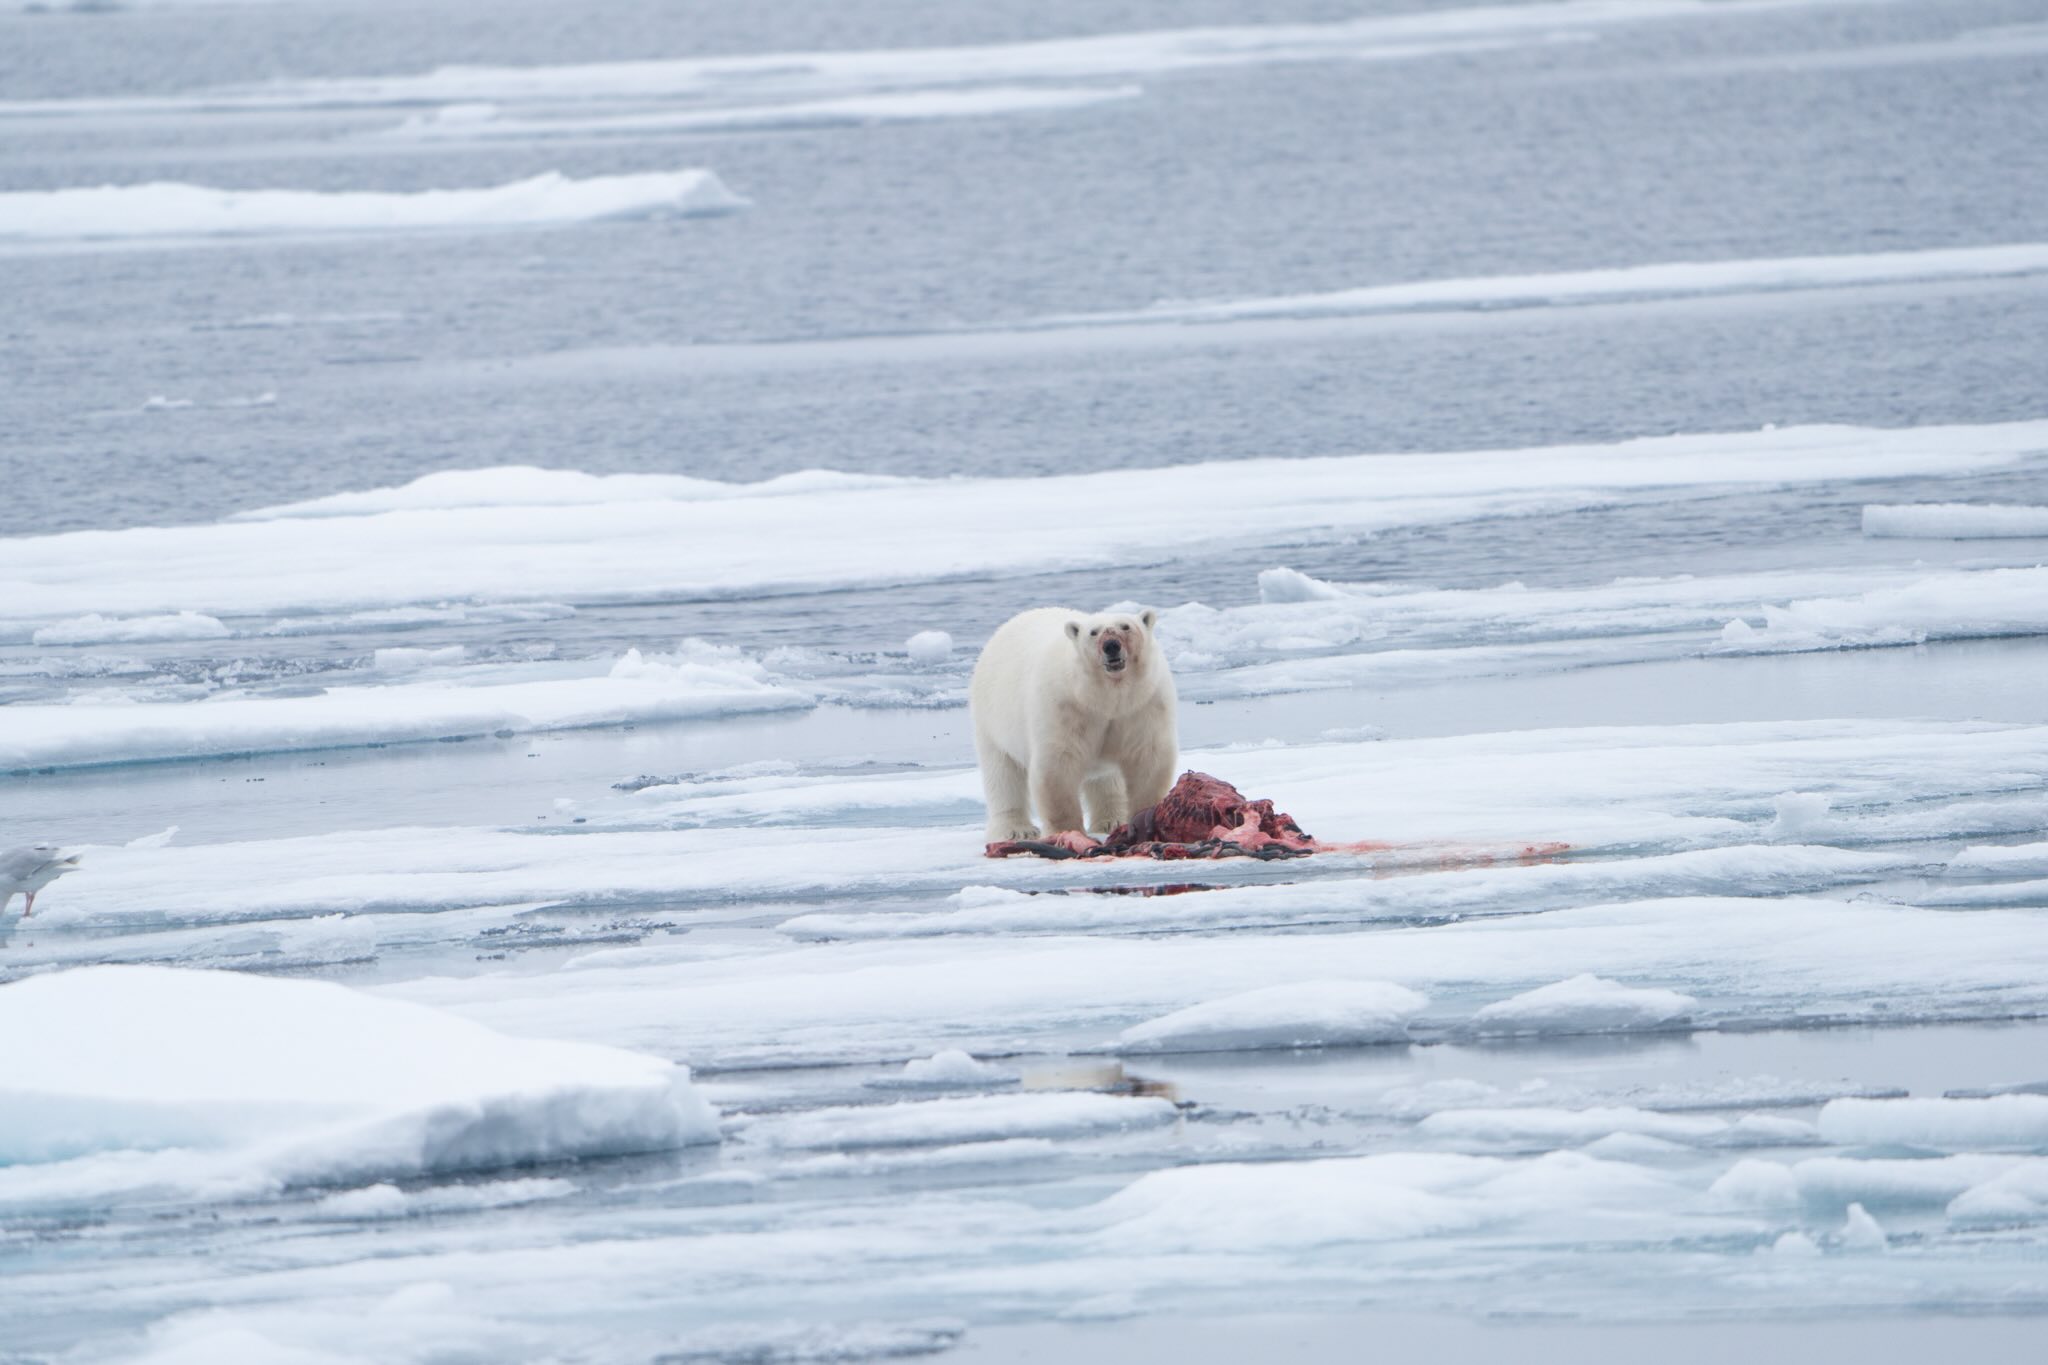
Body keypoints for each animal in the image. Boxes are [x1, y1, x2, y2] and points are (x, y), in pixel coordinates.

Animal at [968, 607, 1179, 843]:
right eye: (1093, 632)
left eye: (1125, 626)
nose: (1111, 646)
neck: (1105, 698)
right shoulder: (1064, 707)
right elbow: (1058, 766)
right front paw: (1066, 831)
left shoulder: (1142, 706)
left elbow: (1148, 759)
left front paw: (1144, 818)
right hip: (992, 719)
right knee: (1003, 774)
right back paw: (1016, 830)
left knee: (1107, 780)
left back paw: (1112, 821)